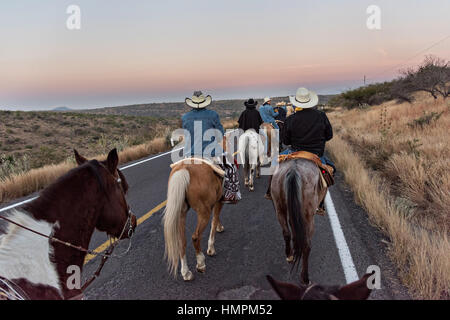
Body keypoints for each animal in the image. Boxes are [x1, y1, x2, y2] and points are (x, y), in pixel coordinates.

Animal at [163, 136, 232, 282]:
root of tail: (184, 169)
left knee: (182, 241)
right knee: (195, 237)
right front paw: (211, 248)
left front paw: (220, 227)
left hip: (181, 213)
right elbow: (214, 220)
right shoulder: (219, 201)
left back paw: (186, 273)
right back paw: (200, 263)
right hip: (203, 212)